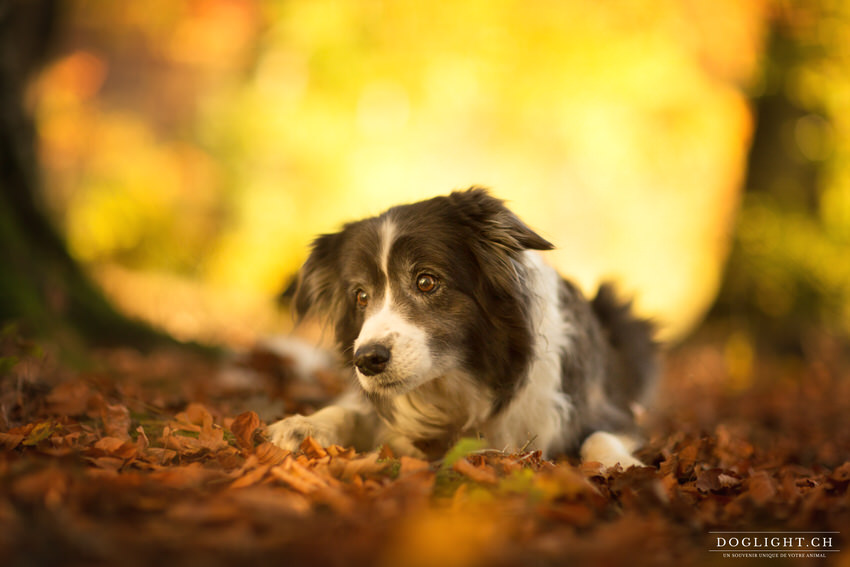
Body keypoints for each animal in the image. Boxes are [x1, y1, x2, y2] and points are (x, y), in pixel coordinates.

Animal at [264, 189, 656, 468]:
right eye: (361, 296)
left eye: (426, 281)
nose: (366, 360)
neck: (461, 384)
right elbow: (352, 411)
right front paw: (302, 426)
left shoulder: (605, 410)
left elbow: (598, 436)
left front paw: (620, 464)